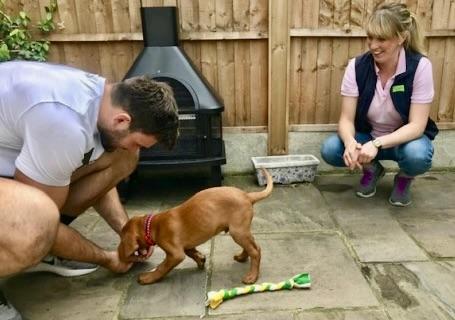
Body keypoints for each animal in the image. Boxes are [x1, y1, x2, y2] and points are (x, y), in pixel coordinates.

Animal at [119, 169, 272, 286]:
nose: (120, 254)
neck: (153, 225)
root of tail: (247, 195)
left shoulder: (175, 254)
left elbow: (162, 267)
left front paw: (148, 277)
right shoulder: (184, 246)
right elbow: (191, 252)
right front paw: (200, 259)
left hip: (237, 231)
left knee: (255, 250)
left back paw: (252, 276)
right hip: (241, 231)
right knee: (251, 246)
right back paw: (241, 257)